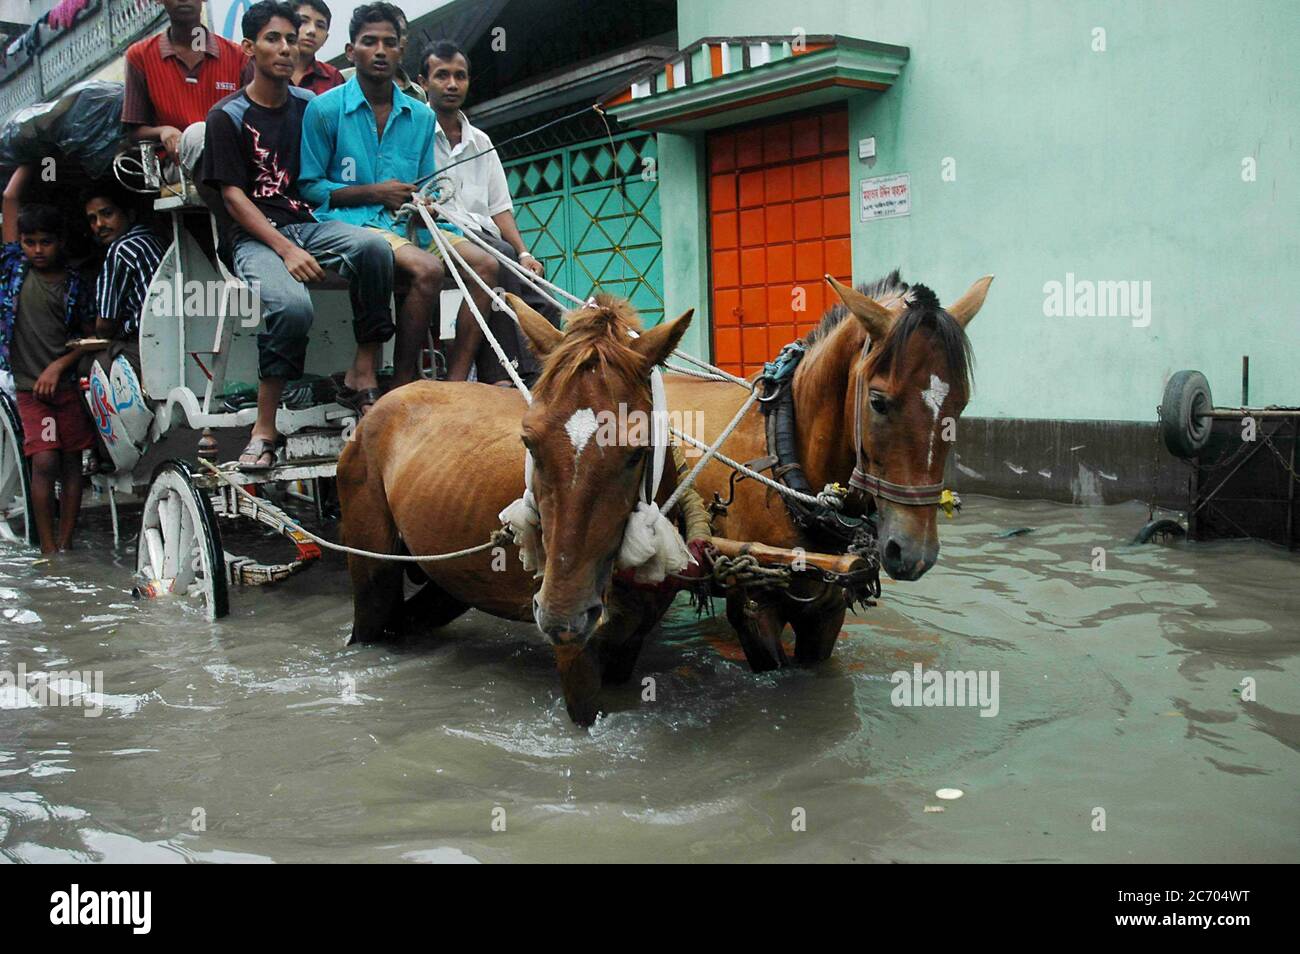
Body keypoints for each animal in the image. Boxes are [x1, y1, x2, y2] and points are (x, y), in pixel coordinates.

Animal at [340, 295, 696, 722]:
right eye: (529, 442)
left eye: (637, 452)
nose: (562, 614)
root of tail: (382, 403)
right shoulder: (576, 654)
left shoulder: (628, 642)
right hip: (372, 569)